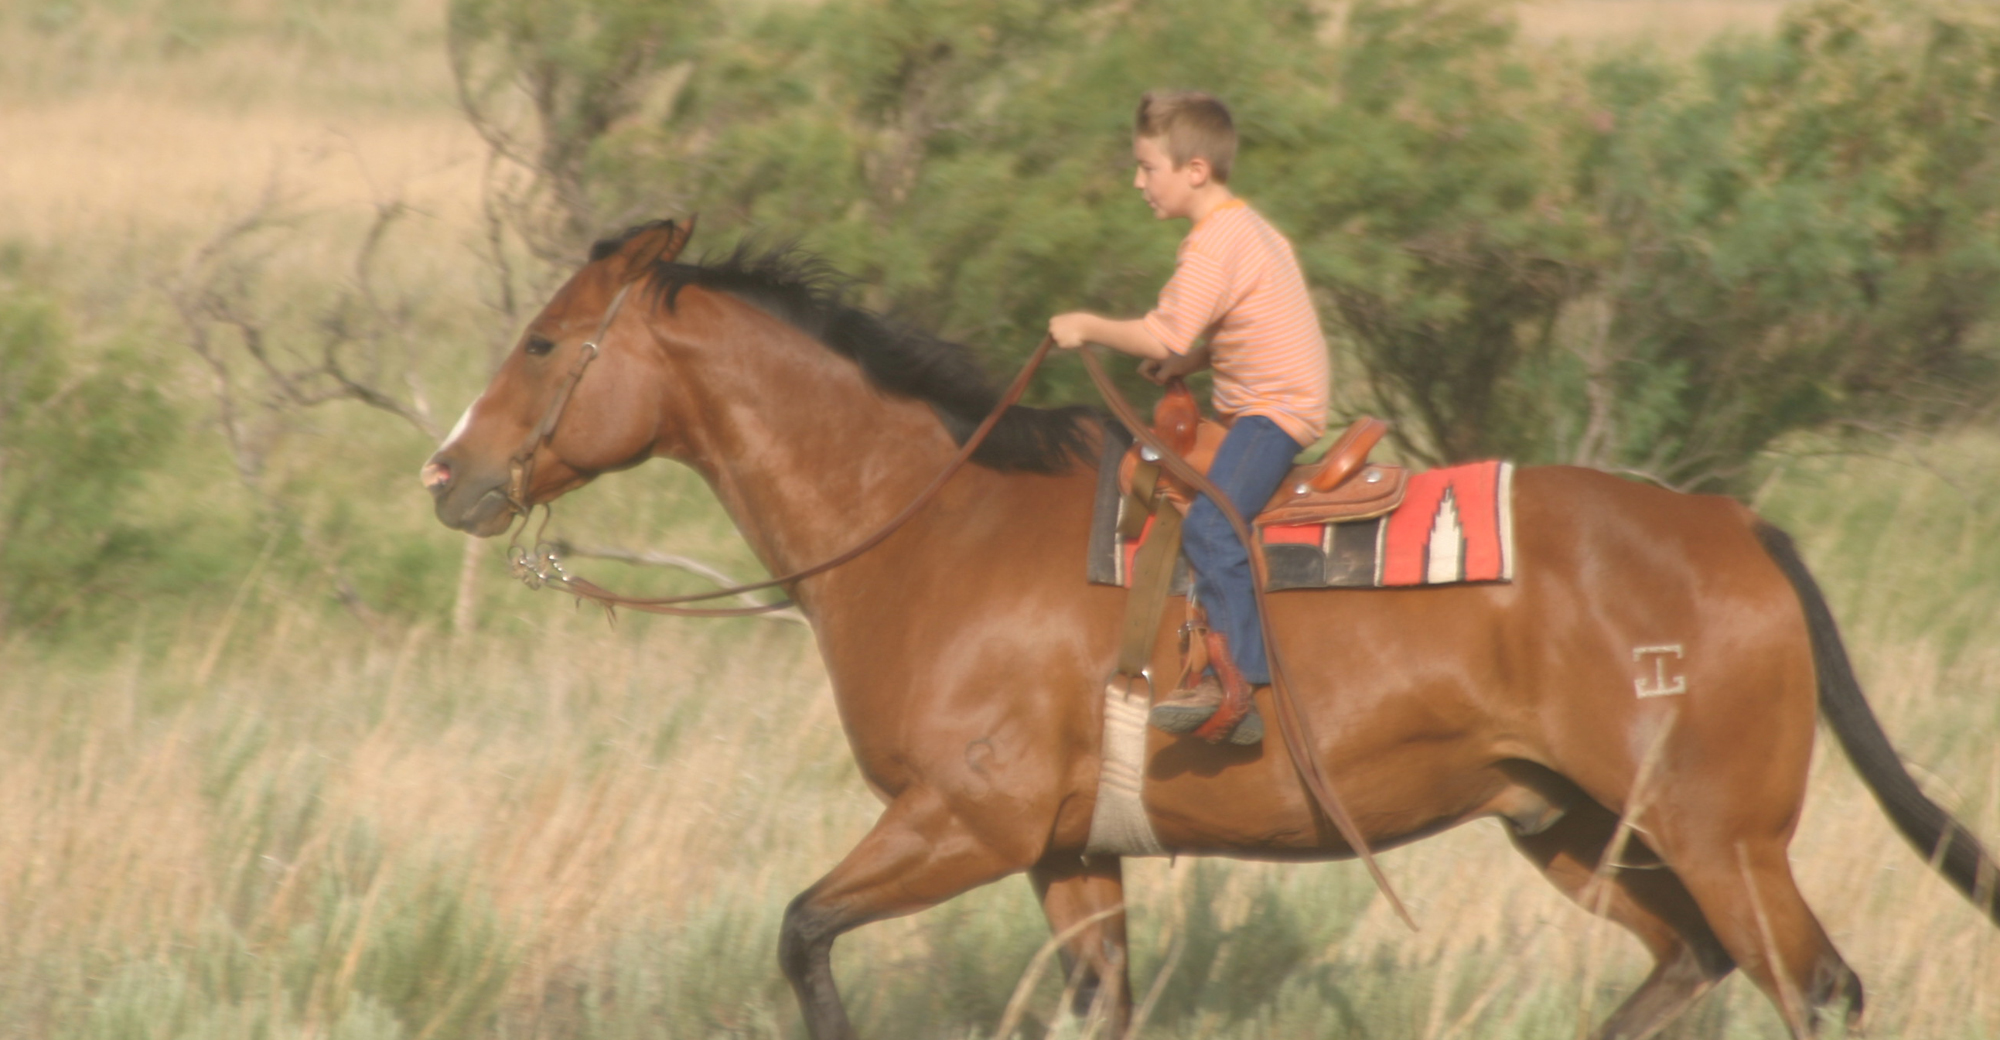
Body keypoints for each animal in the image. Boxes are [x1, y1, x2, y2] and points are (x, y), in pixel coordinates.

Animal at [422, 215, 2000, 1032]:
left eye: (545, 343)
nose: (448, 472)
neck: (933, 522)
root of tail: (1735, 527)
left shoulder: (965, 822)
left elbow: (803, 932)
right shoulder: (1068, 855)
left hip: (1724, 837)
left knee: (1811, 984)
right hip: (1563, 822)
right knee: (1690, 966)